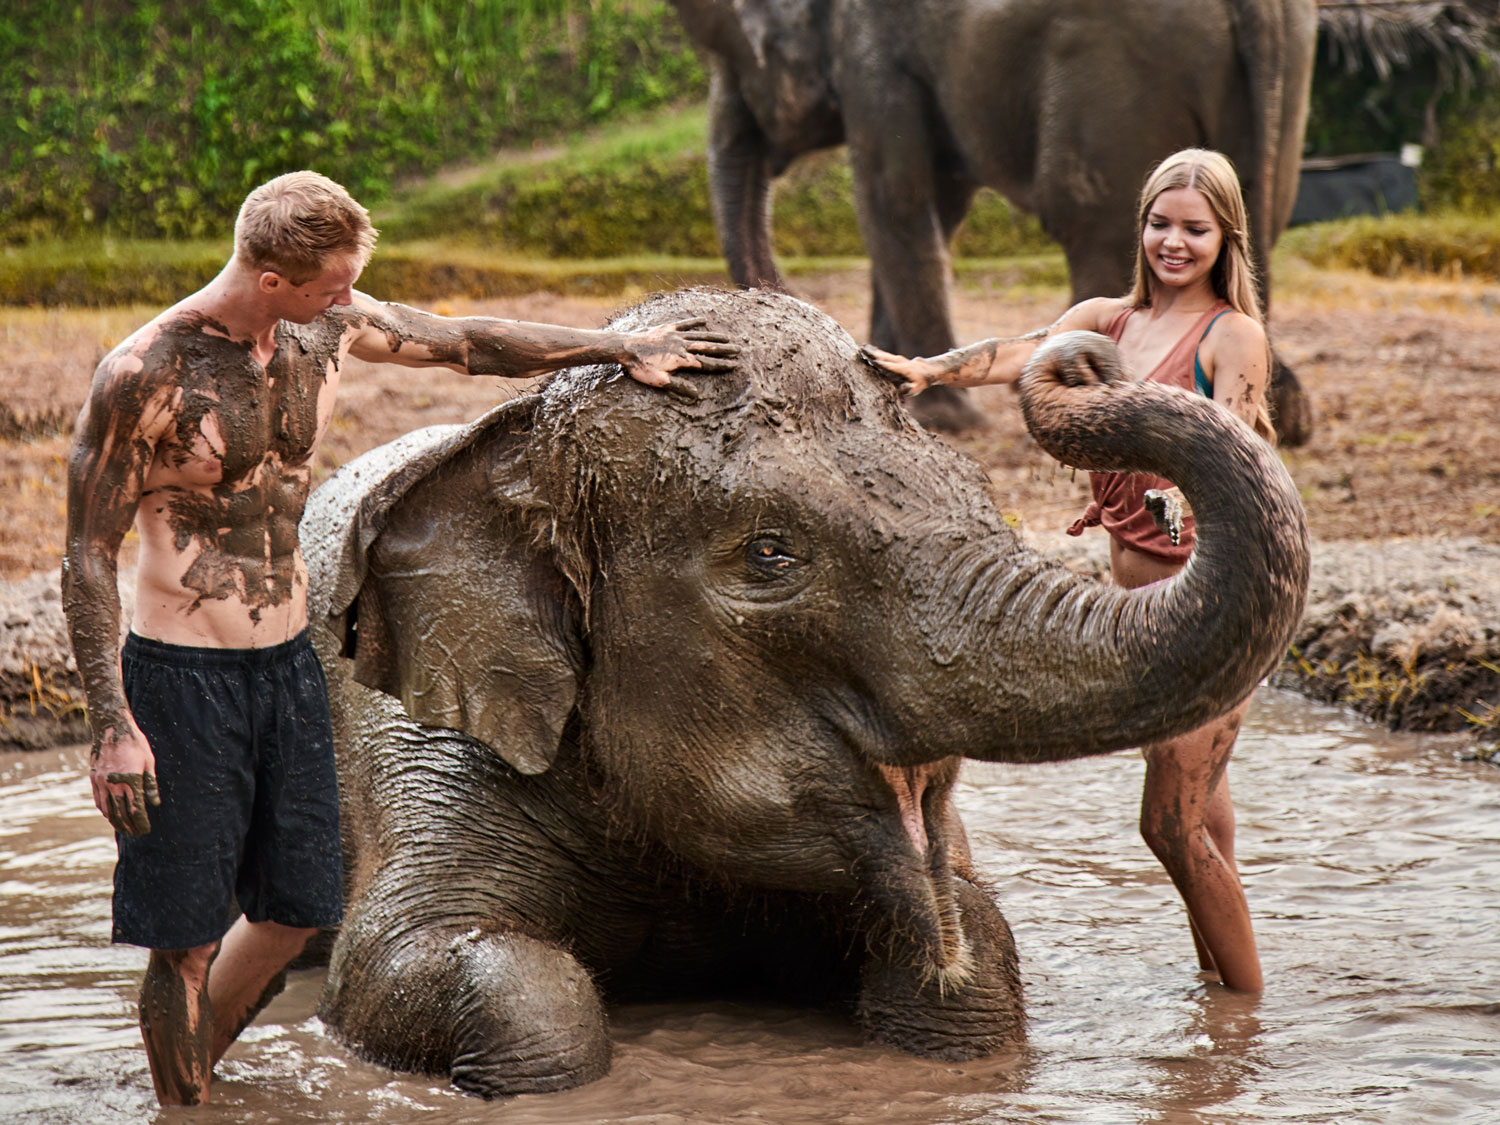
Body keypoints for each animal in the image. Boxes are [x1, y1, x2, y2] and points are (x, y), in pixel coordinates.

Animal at [298, 288, 1308, 1104]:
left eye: (977, 489)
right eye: (770, 552)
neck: (510, 441)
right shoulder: (416, 737)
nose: (1081, 357)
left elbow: (975, 942)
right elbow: (404, 967)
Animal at [666, 0, 1314, 444]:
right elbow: (941, 204)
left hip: (1116, 79)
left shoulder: (873, 55)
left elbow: (893, 198)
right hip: (1283, 88)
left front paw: (943, 419)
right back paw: (1288, 416)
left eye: (737, 57)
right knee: (1259, 214)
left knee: (1089, 215)